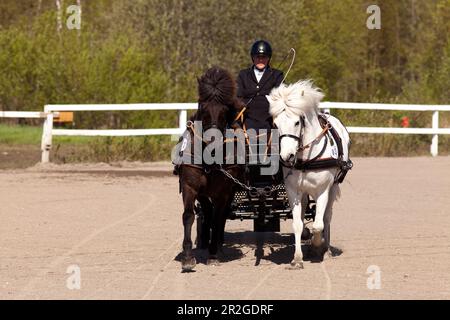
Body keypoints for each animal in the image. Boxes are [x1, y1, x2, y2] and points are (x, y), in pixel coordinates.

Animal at [178, 66, 244, 272]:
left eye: (225, 110)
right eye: (203, 107)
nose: (213, 141)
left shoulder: (222, 192)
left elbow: (218, 218)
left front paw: (214, 255)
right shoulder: (190, 187)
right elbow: (188, 216)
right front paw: (188, 257)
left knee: (220, 216)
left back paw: (218, 246)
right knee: (206, 212)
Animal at [268, 79, 352, 268]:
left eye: (297, 122)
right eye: (276, 124)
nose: (287, 156)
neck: (306, 158)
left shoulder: (322, 191)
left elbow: (318, 225)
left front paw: (316, 246)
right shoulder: (293, 191)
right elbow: (298, 224)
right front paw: (297, 258)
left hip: (333, 187)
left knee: (327, 218)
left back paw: (326, 249)